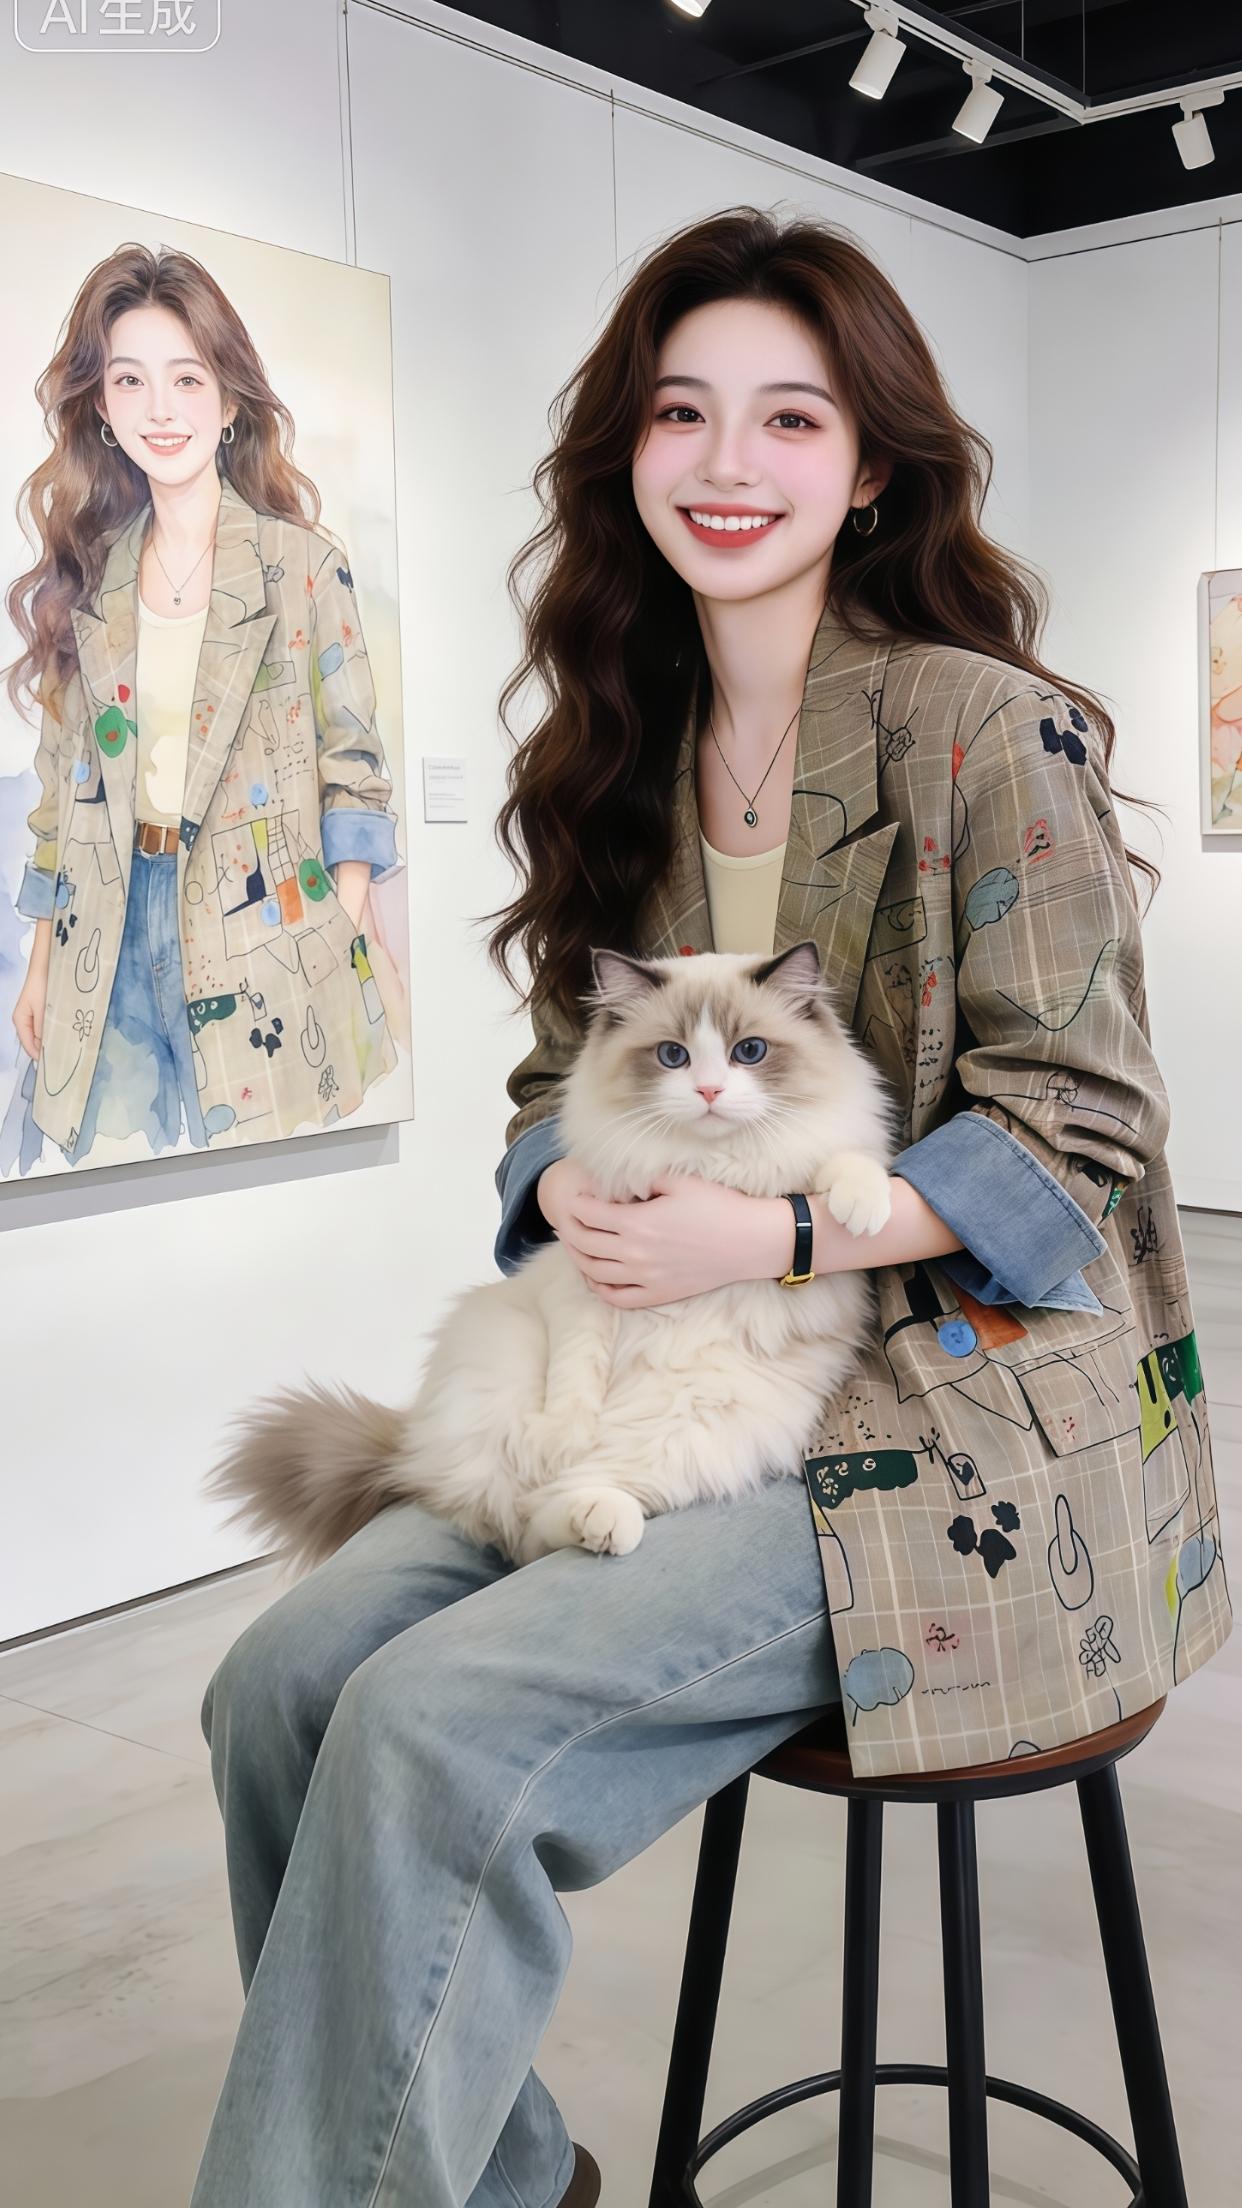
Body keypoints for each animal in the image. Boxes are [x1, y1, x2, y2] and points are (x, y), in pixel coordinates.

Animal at [205, 938, 896, 1573]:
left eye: (748, 1052)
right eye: (672, 1056)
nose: (708, 1091)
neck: (707, 1167)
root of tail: (410, 1444)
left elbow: (845, 1169)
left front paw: (864, 1210)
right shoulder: (585, 1287)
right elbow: (574, 1379)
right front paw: (563, 1433)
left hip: (701, 1426)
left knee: (546, 1520)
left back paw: (599, 1519)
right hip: (503, 1368)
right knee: (520, 1517)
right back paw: (579, 1499)